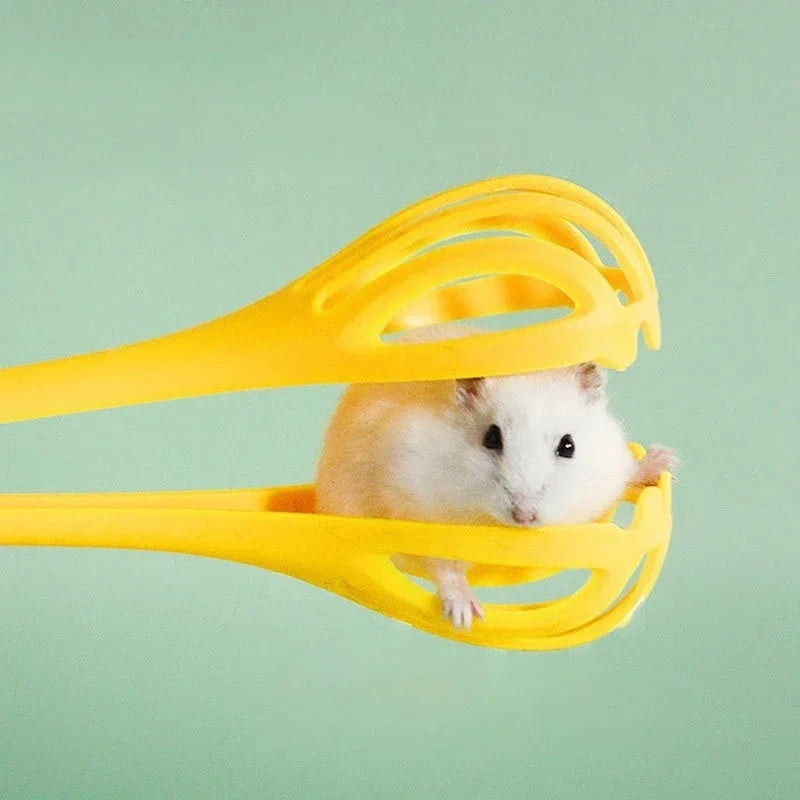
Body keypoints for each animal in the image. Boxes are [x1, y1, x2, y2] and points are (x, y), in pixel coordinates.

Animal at [314, 323, 677, 630]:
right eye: (491, 438)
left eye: (568, 445)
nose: (524, 516)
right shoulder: (418, 509)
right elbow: (444, 566)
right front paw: (466, 617)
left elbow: (628, 470)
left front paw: (666, 461)